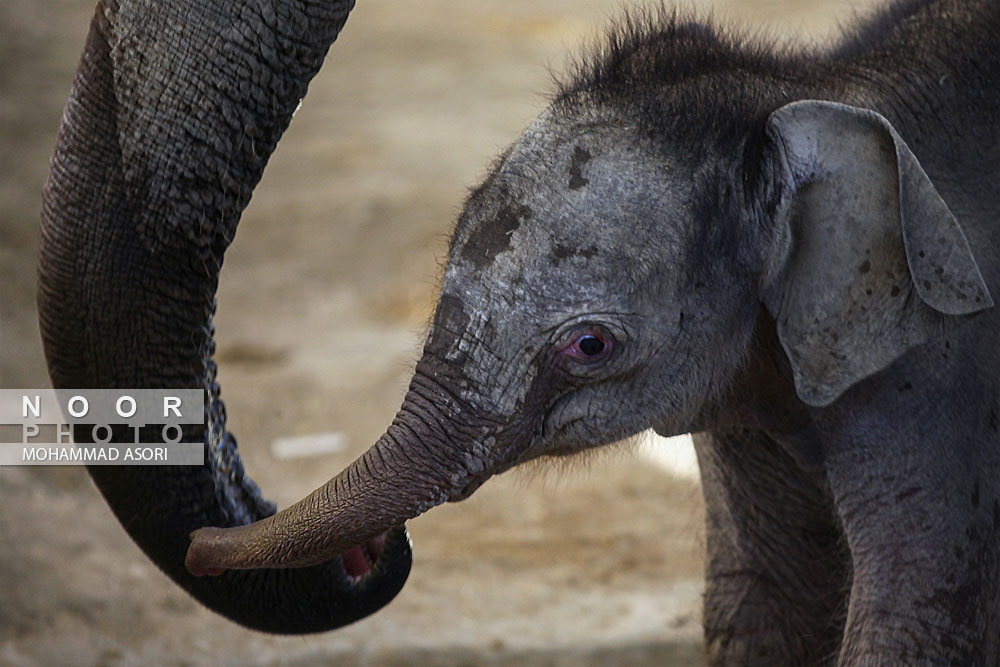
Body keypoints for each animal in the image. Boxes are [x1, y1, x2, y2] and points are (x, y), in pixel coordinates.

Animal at [39, 0, 1000, 664]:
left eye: (589, 346)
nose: (374, 553)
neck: (811, 91)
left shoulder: (936, 379)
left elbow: (916, 624)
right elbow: (764, 603)